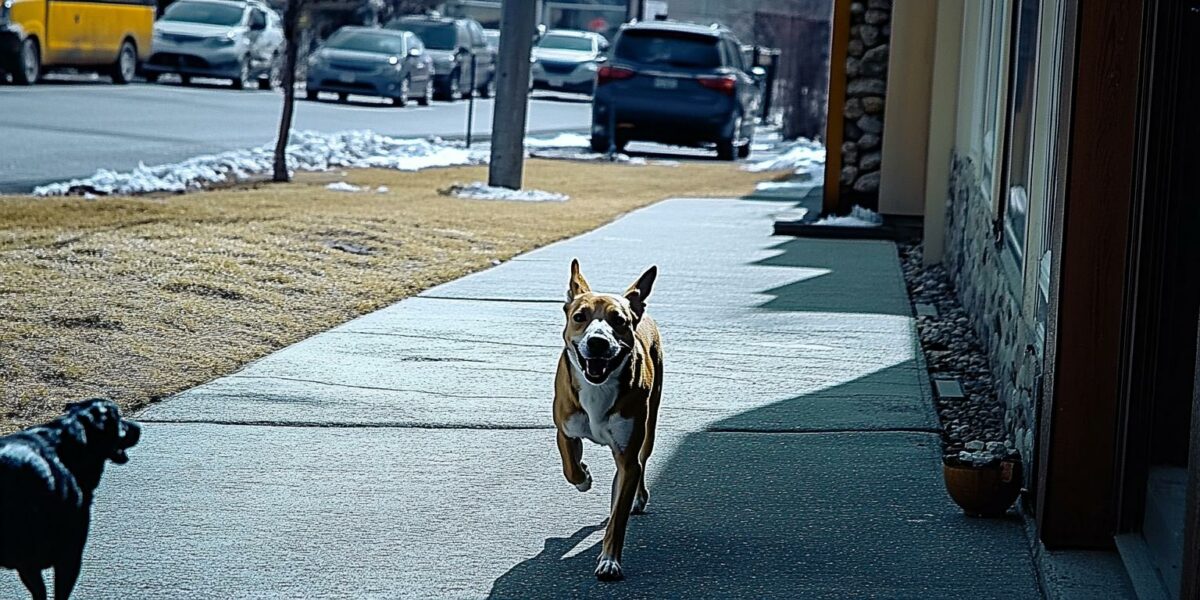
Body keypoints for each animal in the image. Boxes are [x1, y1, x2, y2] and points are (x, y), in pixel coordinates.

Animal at [554, 259, 667, 580]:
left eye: (619, 320)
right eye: (579, 316)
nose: (597, 342)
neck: (598, 387)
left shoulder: (627, 456)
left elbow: (618, 516)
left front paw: (609, 561)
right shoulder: (565, 428)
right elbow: (570, 467)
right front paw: (584, 476)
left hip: (649, 423)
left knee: (643, 459)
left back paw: (639, 498)